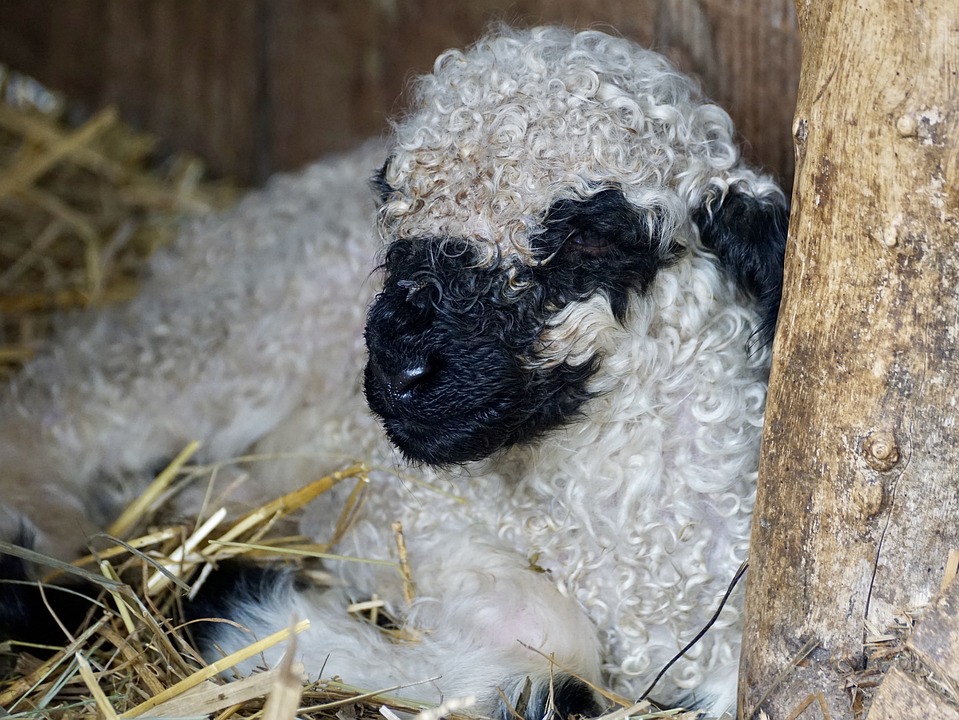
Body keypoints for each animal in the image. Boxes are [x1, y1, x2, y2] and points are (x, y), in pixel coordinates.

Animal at [0, 25, 788, 720]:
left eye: (591, 237)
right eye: (394, 203)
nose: (400, 366)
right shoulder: (400, 507)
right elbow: (542, 633)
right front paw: (247, 608)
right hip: (231, 329)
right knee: (58, 399)